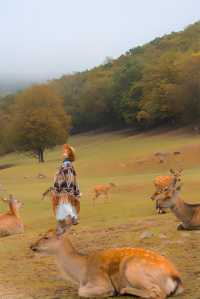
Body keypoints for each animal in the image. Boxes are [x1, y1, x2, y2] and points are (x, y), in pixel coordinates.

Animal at [30, 231, 183, 298]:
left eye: (46, 237)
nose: (32, 246)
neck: (81, 274)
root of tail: (175, 278)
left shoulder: (100, 280)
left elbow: (81, 291)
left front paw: (110, 292)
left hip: (132, 268)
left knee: (158, 293)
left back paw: (124, 290)